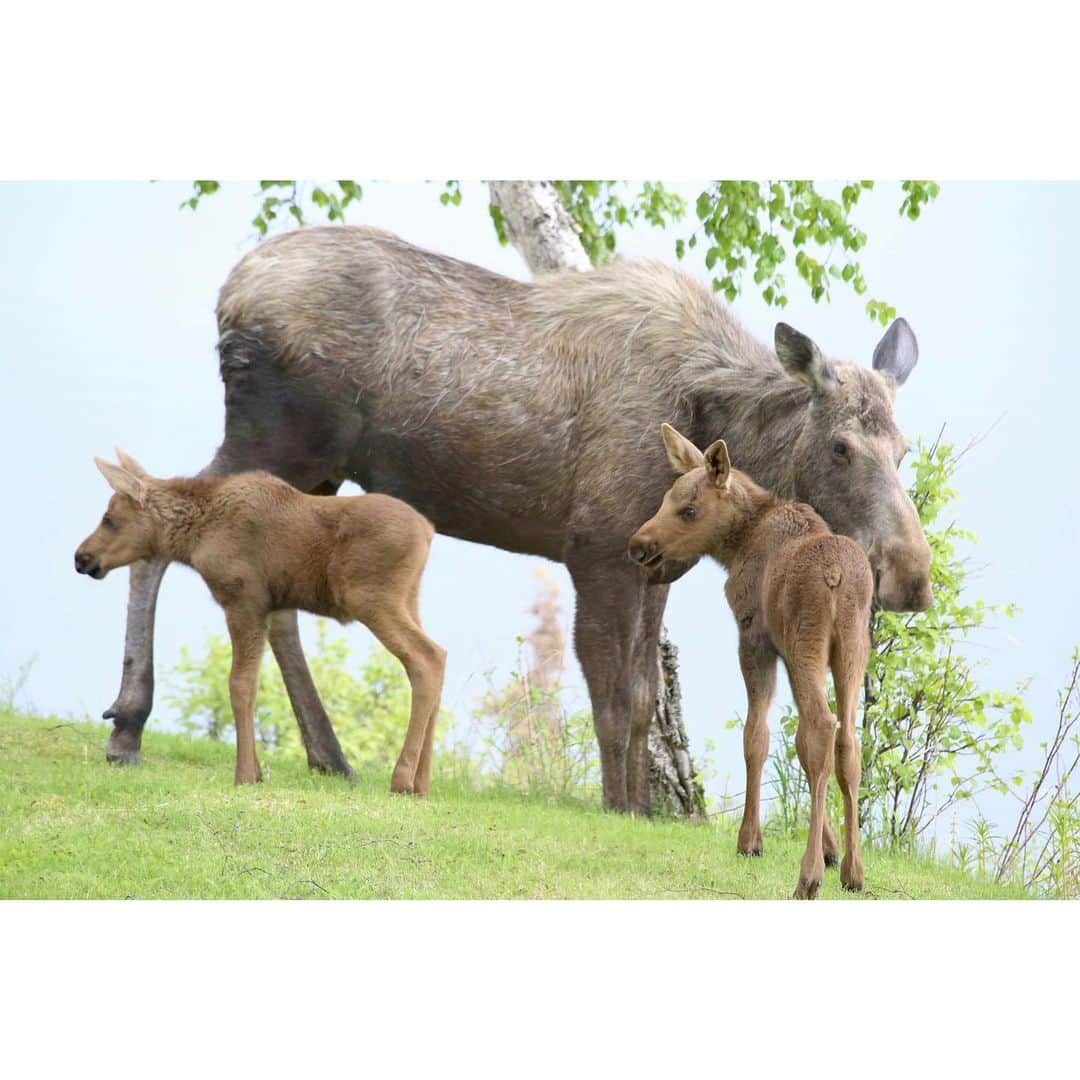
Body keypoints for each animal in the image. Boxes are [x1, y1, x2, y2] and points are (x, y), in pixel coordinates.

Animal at [76, 451, 444, 790]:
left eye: (109, 519)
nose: (81, 557)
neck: (195, 537)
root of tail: (428, 532)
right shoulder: (272, 608)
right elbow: (254, 686)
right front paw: (256, 772)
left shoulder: (244, 601)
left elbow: (239, 686)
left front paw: (243, 775)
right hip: (408, 599)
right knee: (438, 657)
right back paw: (422, 784)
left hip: (372, 599)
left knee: (426, 658)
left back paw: (402, 779)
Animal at [630, 425, 872, 898]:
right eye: (666, 499)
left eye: (688, 510)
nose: (638, 545)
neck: (736, 545)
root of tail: (835, 577)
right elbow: (796, 744)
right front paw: (832, 850)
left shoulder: (754, 637)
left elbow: (756, 736)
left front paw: (750, 840)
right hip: (853, 650)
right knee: (847, 739)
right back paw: (853, 871)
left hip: (805, 642)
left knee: (822, 726)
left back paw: (808, 876)